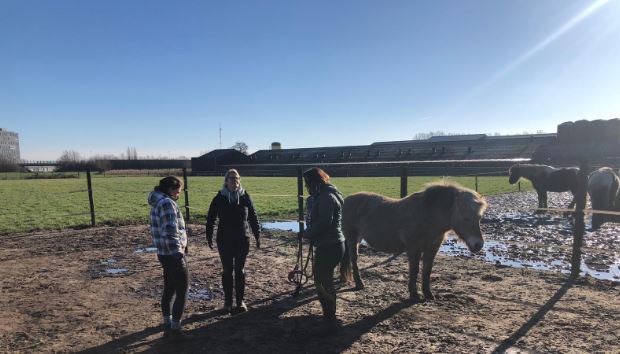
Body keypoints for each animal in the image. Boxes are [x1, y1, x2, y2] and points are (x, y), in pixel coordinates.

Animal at [340, 183, 490, 302]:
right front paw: (414, 294)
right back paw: (359, 284)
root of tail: (346, 200)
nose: (478, 245)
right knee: (354, 259)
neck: (426, 216)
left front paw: (428, 294)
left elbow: (427, 271)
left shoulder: (431, 250)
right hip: (352, 238)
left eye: (479, 217)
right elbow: (414, 270)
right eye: (465, 217)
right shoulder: (413, 249)